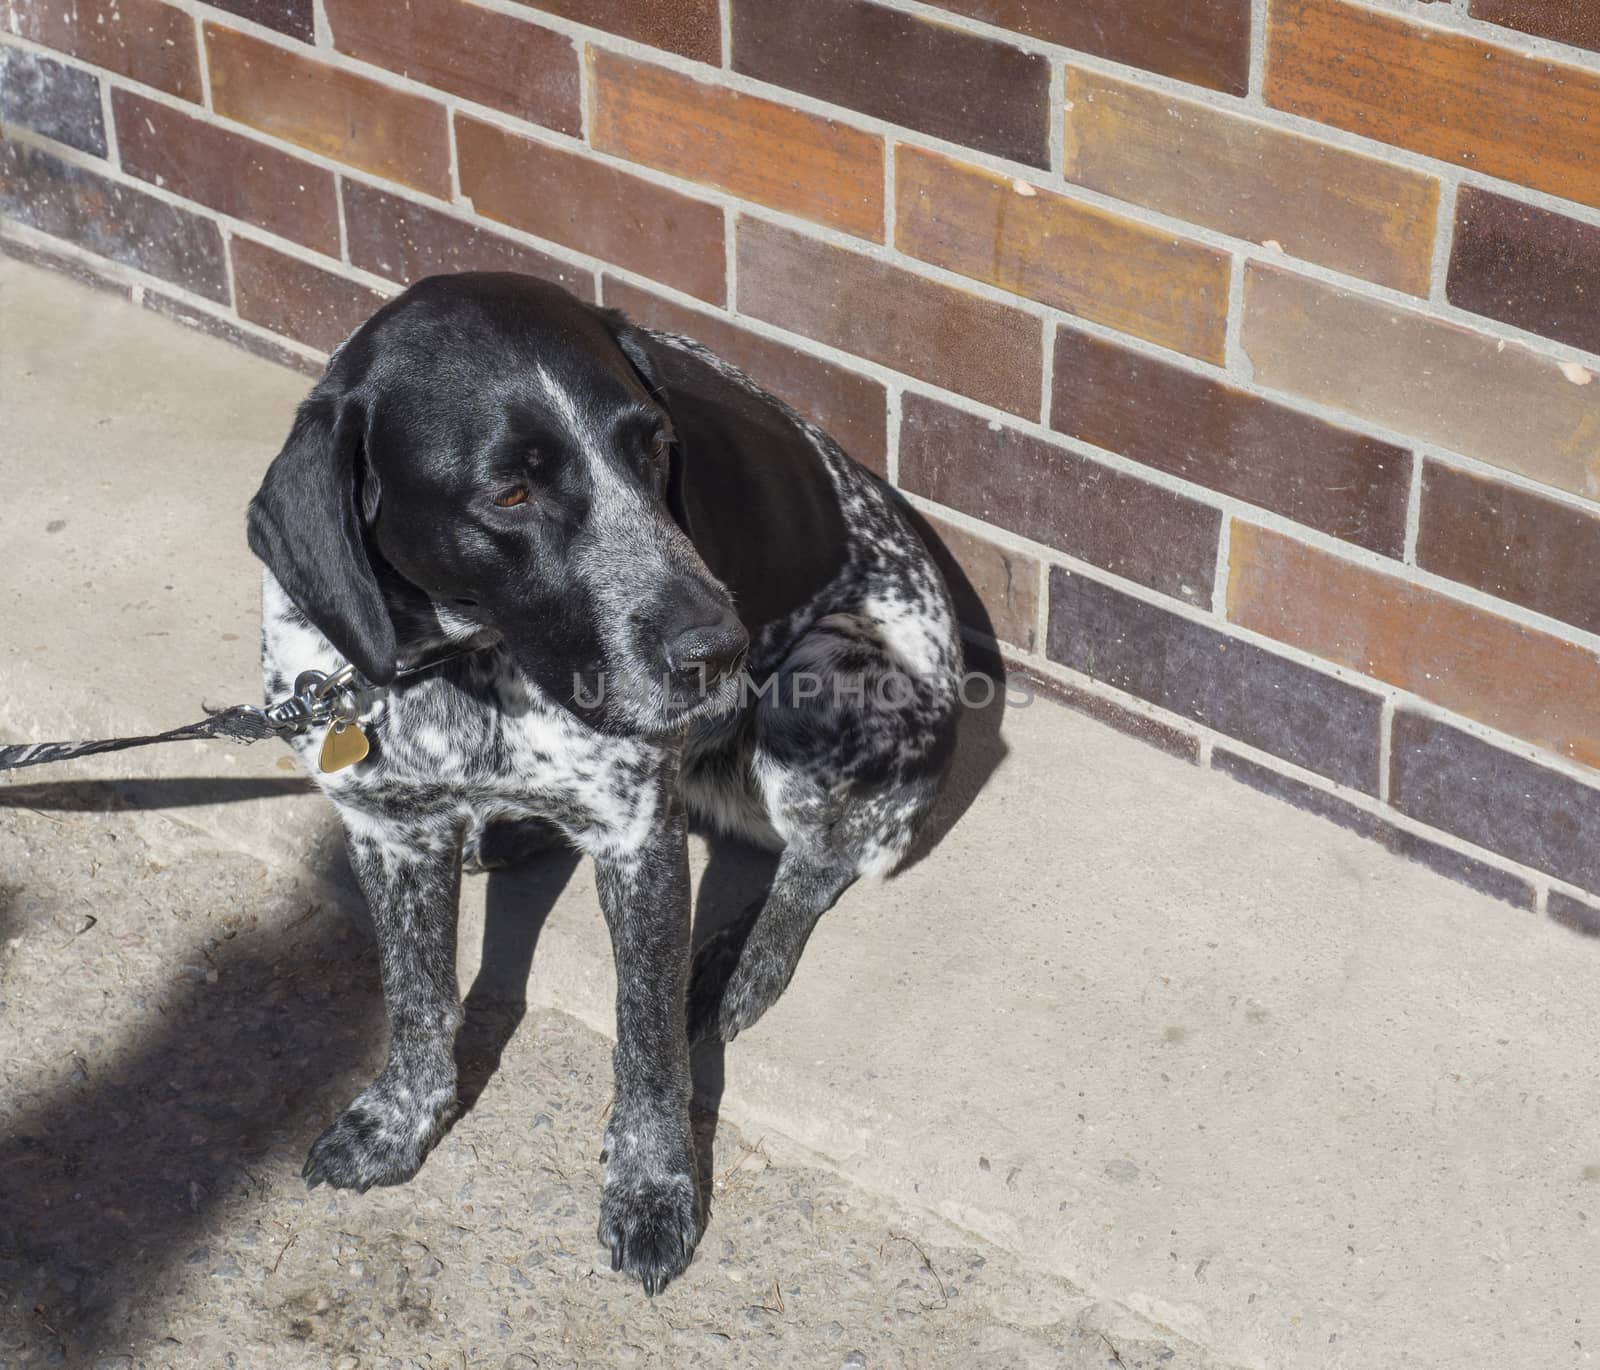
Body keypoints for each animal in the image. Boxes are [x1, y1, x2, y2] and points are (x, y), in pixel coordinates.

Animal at [249, 270, 960, 1293]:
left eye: (657, 447)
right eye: (510, 493)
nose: (719, 651)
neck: (469, 665)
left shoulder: (636, 836)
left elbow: (647, 1034)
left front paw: (653, 1187)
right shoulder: (386, 829)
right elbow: (416, 995)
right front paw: (400, 1119)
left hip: (822, 682)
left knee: (824, 855)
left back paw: (744, 959)